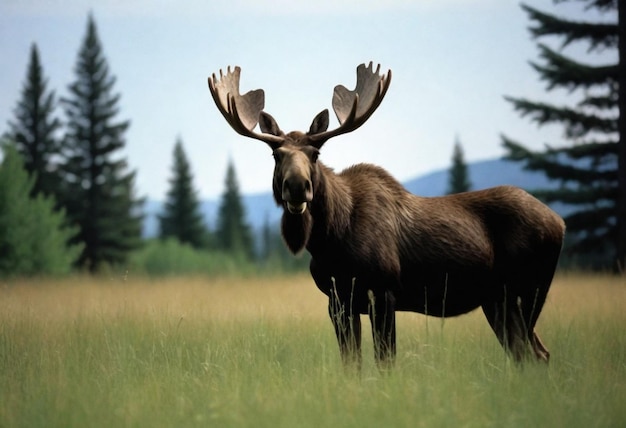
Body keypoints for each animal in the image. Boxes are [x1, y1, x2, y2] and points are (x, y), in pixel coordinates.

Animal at [207, 62, 564, 368]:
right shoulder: (339, 301)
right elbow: (351, 363)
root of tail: (559, 221)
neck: (329, 241)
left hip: (526, 292)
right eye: (276, 154)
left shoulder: (383, 292)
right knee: (530, 353)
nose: (297, 186)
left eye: (315, 153)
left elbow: (385, 361)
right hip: (497, 300)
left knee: (534, 353)